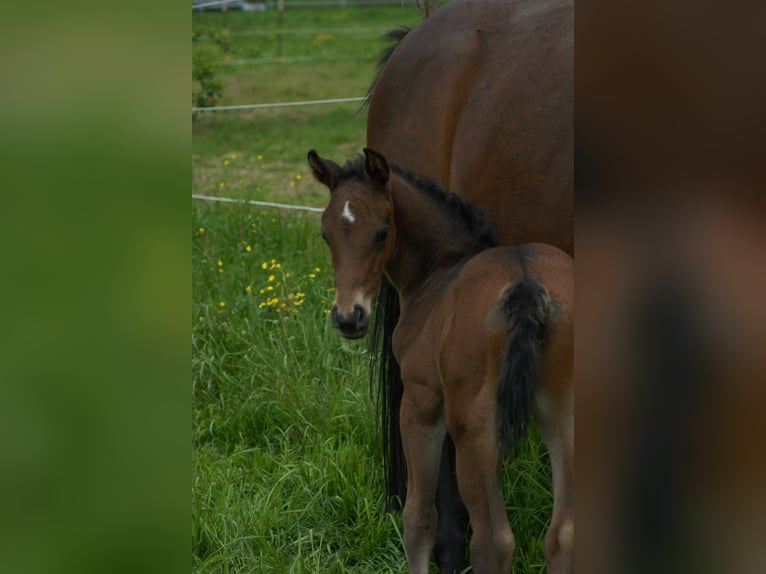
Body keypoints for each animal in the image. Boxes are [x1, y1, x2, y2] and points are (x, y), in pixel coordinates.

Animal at [308, 150, 572, 574]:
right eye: (325, 234)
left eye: (382, 232)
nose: (349, 318)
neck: (439, 270)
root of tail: (527, 285)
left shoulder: (420, 403)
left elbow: (418, 517)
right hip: (565, 419)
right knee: (563, 535)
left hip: (475, 428)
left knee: (493, 541)